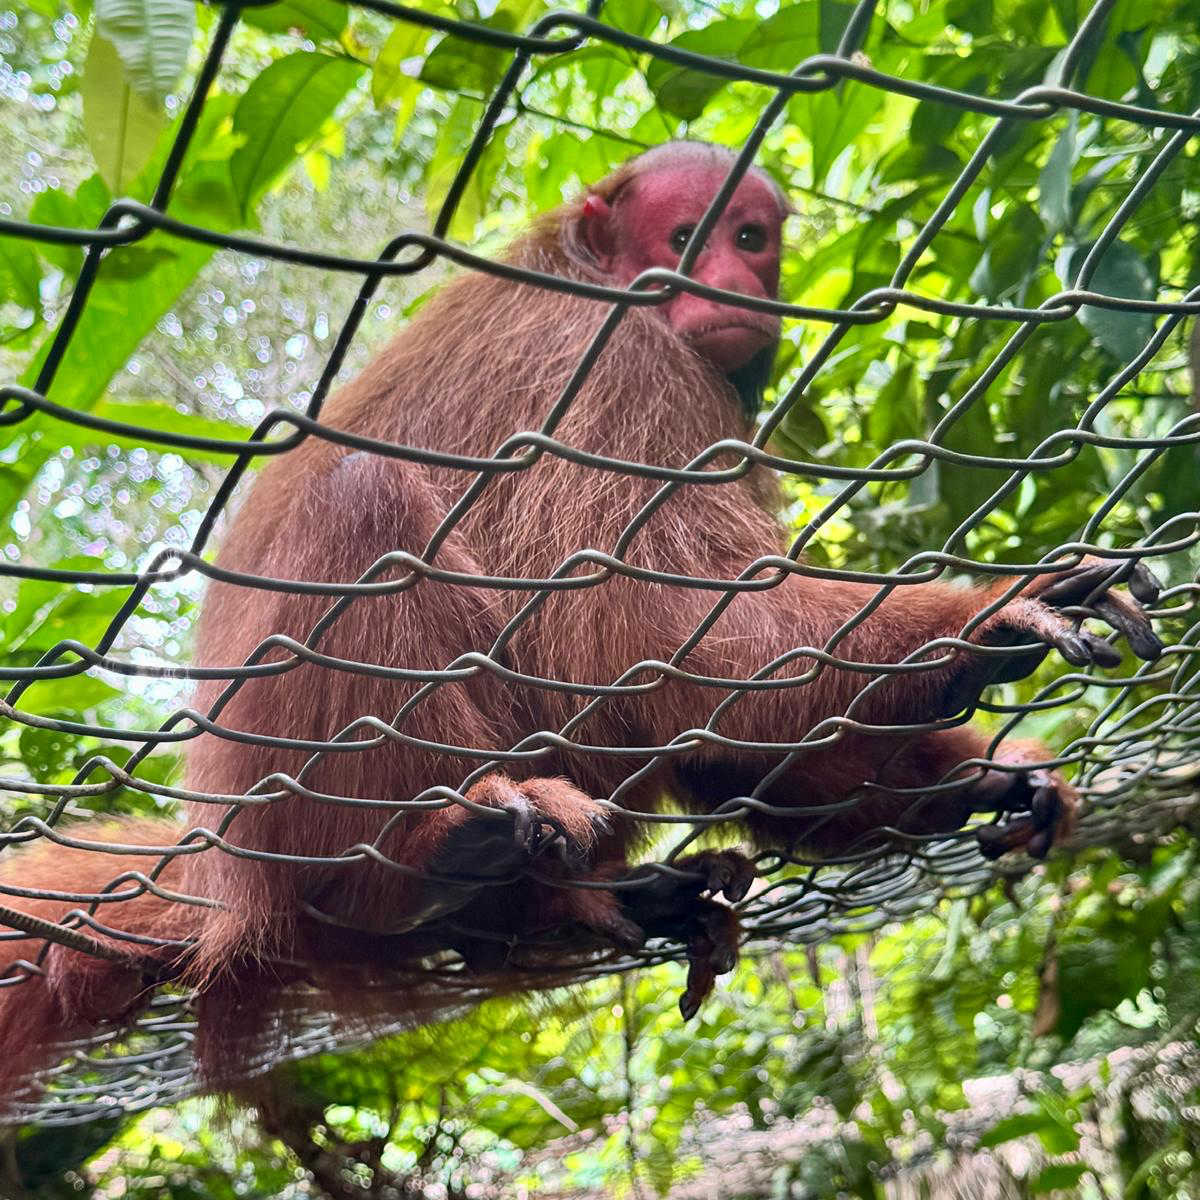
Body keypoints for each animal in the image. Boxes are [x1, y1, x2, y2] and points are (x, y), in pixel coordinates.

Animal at [0, 141, 1161, 1106]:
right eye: (689, 240)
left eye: (753, 240)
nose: (731, 282)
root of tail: (223, 869)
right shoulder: (608, 360)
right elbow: (647, 630)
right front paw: (982, 624)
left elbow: (726, 732)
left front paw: (988, 775)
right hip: (291, 813)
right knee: (364, 507)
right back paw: (421, 863)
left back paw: (581, 902)